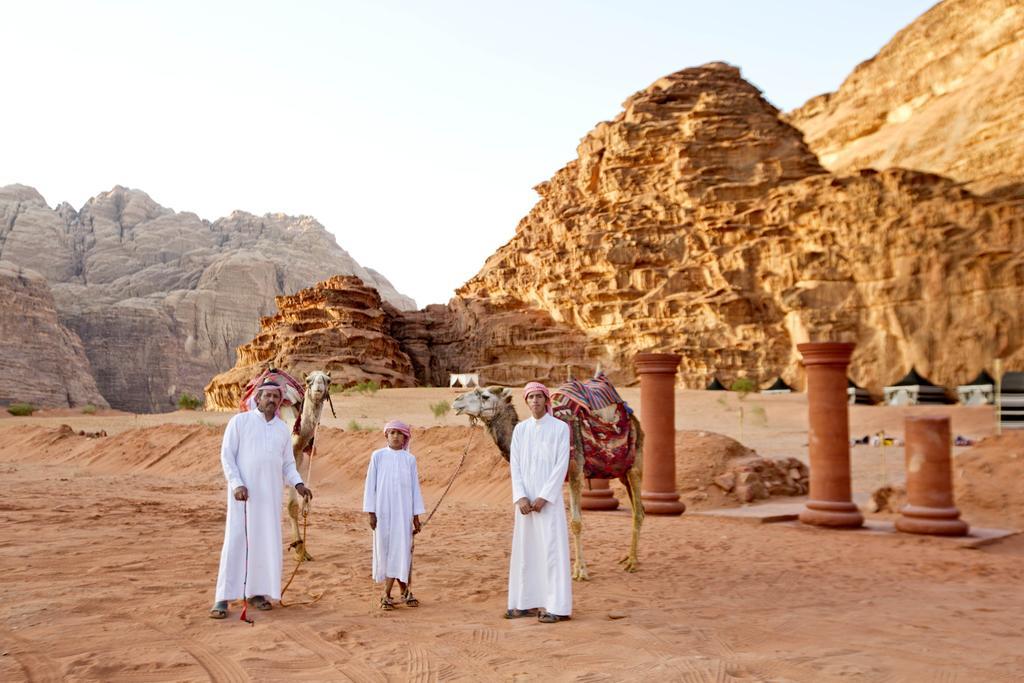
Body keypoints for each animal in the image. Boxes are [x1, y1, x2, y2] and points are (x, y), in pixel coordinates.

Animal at [454, 382, 643, 581]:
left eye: (485, 396)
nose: (456, 400)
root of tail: (634, 418)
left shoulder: (575, 470)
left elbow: (576, 522)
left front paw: (580, 571)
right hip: (621, 472)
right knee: (639, 508)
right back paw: (628, 557)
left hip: (635, 464)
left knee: (638, 511)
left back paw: (632, 562)